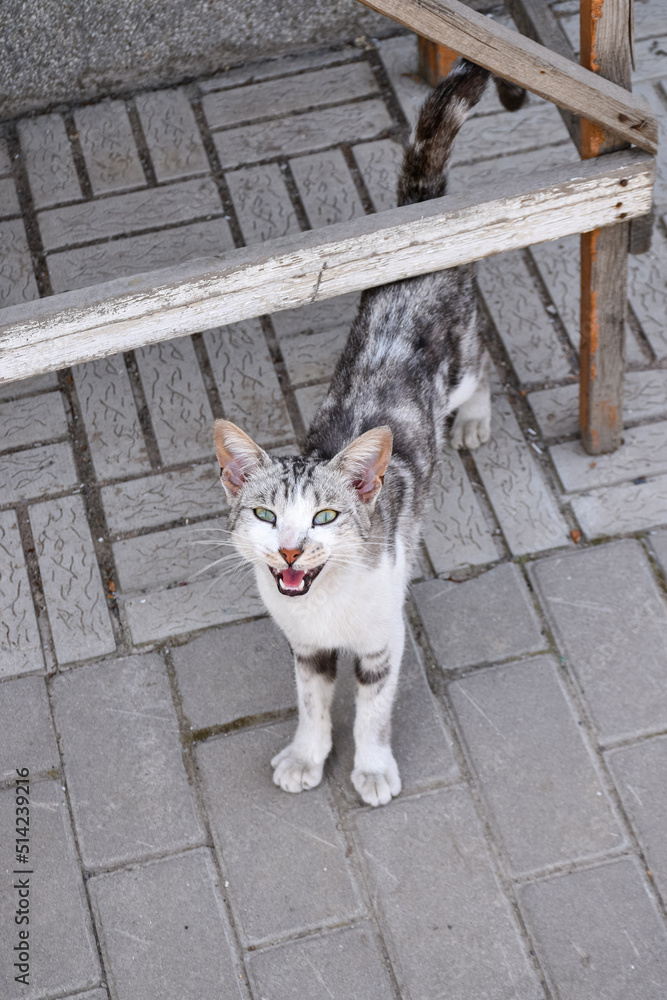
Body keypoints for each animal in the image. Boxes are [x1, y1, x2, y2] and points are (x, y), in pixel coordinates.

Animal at [215, 58, 496, 808]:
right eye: (264, 515)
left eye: (326, 516)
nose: (288, 551)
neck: (326, 610)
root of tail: (418, 219)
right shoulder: (304, 646)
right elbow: (313, 701)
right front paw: (307, 757)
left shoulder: (382, 639)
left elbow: (372, 708)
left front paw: (371, 768)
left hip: (460, 363)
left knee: (484, 363)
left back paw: (475, 421)